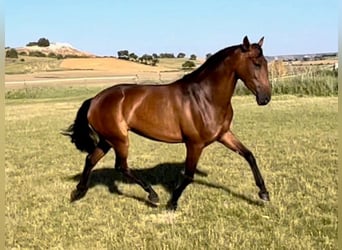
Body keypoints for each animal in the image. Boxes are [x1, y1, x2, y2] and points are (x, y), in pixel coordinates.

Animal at [62, 36, 272, 210]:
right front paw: (172, 202)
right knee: (121, 166)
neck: (205, 97)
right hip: (120, 140)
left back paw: (78, 192)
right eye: (256, 63)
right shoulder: (194, 144)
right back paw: (152, 195)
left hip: (107, 140)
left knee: (91, 159)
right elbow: (188, 175)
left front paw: (263, 193)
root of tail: (95, 100)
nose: (265, 98)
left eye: (265, 63)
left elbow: (249, 155)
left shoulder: (224, 135)